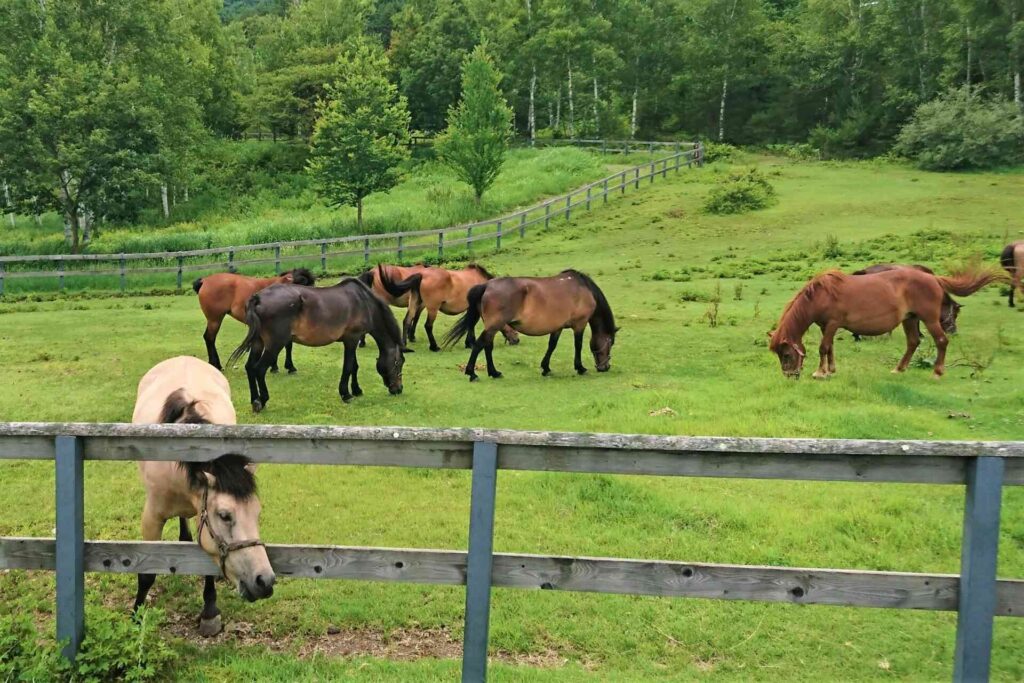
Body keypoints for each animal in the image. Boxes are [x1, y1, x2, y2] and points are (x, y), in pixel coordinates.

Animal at [133, 356, 276, 638]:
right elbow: (146, 574)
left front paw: (210, 613)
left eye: (257, 513)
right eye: (225, 515)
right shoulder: (151, 518)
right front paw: (135, 617)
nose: (265, 581)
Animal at [228, 276, 411, 411]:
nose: (399, 389)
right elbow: (349, 367)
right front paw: (346, 394)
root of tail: (257, 298)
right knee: (259, 369)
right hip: (274, 344)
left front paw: (357, 390)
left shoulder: (352, 340)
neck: (364, 302)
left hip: (258, 343)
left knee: (250, 368)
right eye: (399, 362)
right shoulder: (352, 339)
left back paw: (254, 399)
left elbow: (354, 366)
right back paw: (262, 400)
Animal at [360, 264, 520, 352]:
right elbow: (471, 325)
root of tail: (421, 274)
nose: (517, 340)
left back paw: (404, 345)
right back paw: (434, 347)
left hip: (415, 302)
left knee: (407, 320)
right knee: (428, 326)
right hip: (432, 308)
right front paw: (471, 343)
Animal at [442, 268, 614, 385]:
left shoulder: (557, 327)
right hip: (494, 325)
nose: (605, 367)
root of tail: (486, 286)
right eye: (611, 343)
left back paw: (494, 372)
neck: (583, 289)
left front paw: (546, 368)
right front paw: (580, 368)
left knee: (487, 346)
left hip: (492, 327)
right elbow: (578, 345)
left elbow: (552, 345)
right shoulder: (580, 324)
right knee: (479, 345)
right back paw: (472, 373)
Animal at [770, 266, 1003, 378]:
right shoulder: (826, 327)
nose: (790, 376)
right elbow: (830, 349)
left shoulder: (833, 324)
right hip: (910, 320)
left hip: (929, 319)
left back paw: (937, 372)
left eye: (787, 355)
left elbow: (823, 348)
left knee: (941, 341)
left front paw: (820, 372)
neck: (821, 295)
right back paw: (899, 369)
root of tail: (934, 279)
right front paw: (830, 370)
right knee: (913, 342)